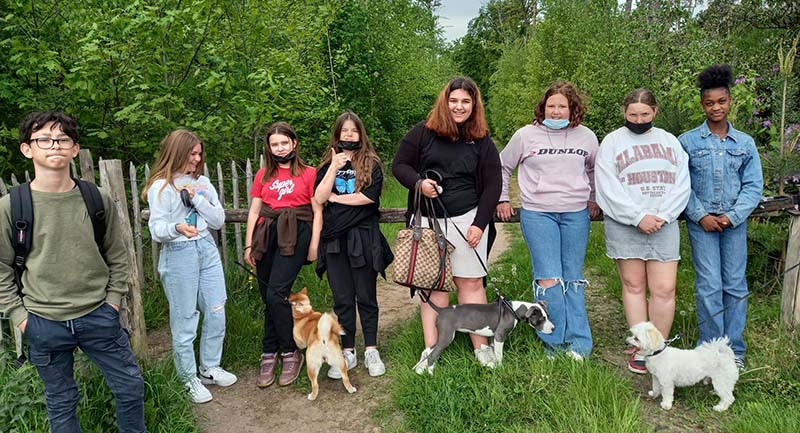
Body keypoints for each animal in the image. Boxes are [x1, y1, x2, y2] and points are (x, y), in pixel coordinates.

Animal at [416, 298, 552, 372]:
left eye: (548, 316)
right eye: (541, 319)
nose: (553, 328)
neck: (513, 309)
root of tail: (441, 309)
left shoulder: (494, 337)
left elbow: (494, 352)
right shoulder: (499, 336)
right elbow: (499, 355)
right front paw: (500, 367)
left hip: (442, 336)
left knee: (428, 350)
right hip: (447, 336)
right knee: (432, 355)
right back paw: (431, 373)